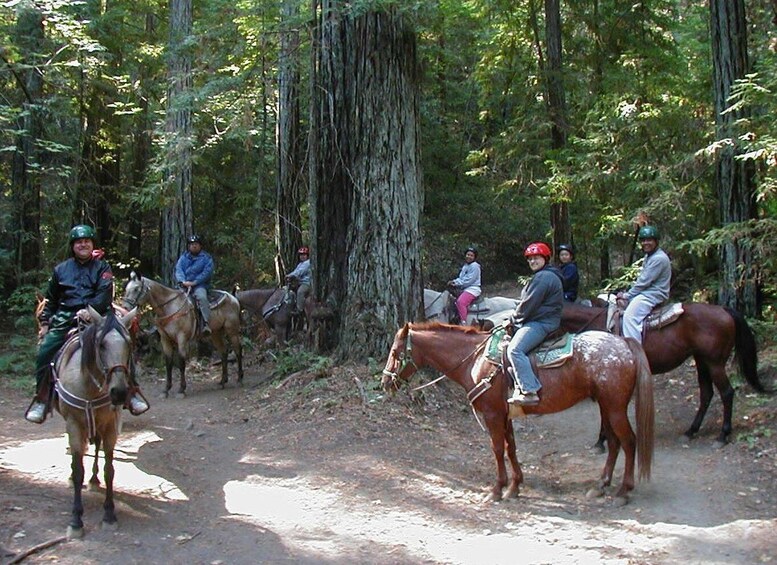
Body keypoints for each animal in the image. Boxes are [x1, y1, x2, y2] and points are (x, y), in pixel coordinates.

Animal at [54, 306, 138, 536]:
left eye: (129, 344)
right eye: (102, 345)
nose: (119, 392)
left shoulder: (109, 425)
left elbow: (110, 470)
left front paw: (109, 514)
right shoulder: (74, 424)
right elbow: (77, 470)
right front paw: (76, 520)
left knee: (96, 446)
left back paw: (93, 480)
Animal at [382, 322, 656, 502]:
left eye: (395, 352)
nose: (385, 383)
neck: (476, 360)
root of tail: (623, 343)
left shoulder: (492, 415)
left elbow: (496, 448)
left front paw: (496, 490)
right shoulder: (505, 416)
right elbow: (510, 447)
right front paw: (515, 486)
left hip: (615, 407)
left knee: (629, 441)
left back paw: (623, 491)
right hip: (606, 406)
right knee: (614, 442)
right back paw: (601, 485)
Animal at [560, 300, 760, 446]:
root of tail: (723, 309)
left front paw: (602, 440)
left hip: (715, 363)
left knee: (726, 393)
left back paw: (722, 435)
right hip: (702, 361)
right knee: (706, 393)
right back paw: (691, 431)